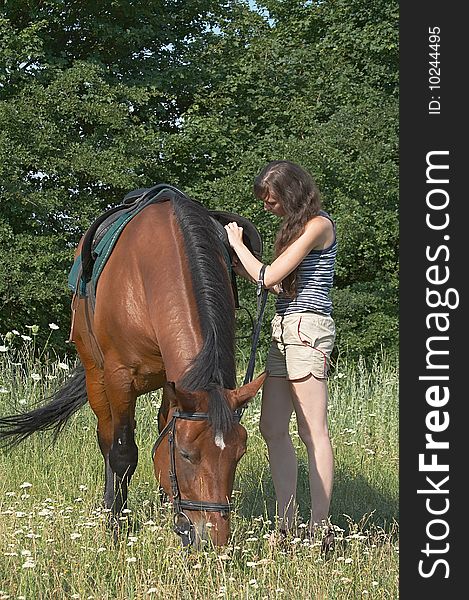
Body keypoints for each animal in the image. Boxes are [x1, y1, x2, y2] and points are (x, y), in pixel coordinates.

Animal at [0, 190, 266, 548]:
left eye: (239, 454)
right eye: (186, 454)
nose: (213, 540)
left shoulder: (177, 384)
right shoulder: (119, 379)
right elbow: (123, 453)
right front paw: (116, 527)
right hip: (96, 375)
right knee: (107, 437)